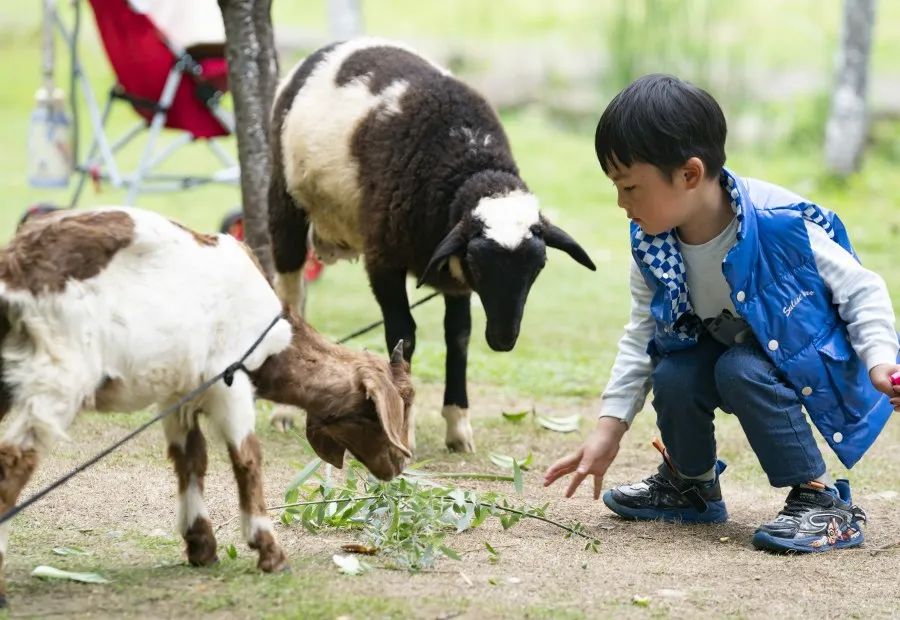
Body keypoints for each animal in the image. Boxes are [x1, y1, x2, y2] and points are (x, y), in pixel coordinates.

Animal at [0, 207, 414, 604]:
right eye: (401, 402)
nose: (399, 465)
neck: (271, 332)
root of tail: (16, 270)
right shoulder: (231, 379)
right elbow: (246, 458)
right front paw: (269, 551)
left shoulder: (179, 393)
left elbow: (191, 458)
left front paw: (201, 545)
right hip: (59, 377)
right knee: (14, 459)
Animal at [264, 40, 596, 456]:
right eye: (480, 265)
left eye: (538, 268)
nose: (503, 340)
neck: (468, 162)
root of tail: (334, 47)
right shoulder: (384, 258)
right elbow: (403, 334)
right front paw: (403, 425)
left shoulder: (454, 277)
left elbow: (459, 338)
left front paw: (458, 427)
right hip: (285, 204)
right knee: (290, 297)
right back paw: (282, 412)